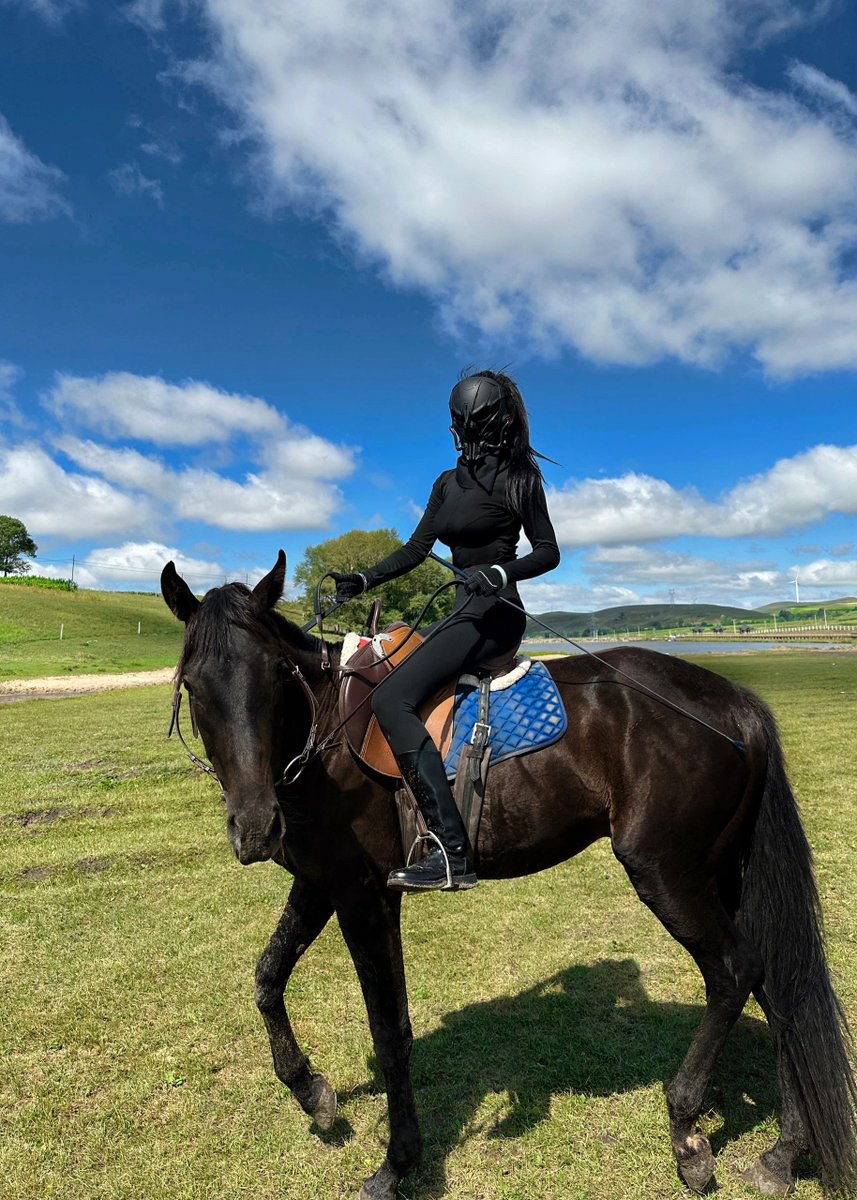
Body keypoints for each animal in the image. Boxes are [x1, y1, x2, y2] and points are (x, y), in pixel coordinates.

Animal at [160, 551, 857, 1200]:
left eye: (278, 675)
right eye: (192, 684)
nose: (255, 828)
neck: (326, 730)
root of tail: (736, 704)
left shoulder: (365, 895)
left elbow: (390, 1030)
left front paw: (397, 1164)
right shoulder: (321, 880)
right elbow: (267, 978)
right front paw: (312, 1091)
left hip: (667, 873)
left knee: (735, 972)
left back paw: (687, 1134)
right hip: (721, 874)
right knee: (779, 986)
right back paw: (782, 1155)